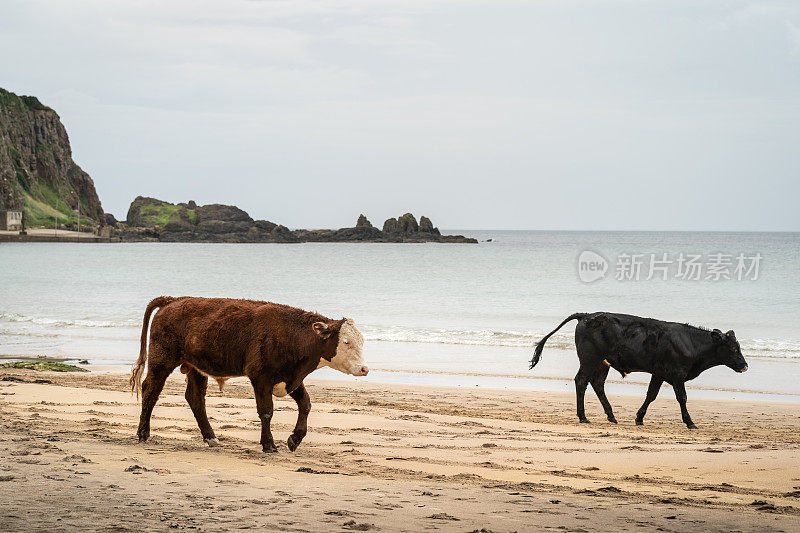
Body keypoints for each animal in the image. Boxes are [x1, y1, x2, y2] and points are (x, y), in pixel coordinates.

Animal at [130, 298, 368, 450]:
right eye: (346, 341)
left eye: (362, 341)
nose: (364, 369)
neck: (292, 335)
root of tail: (172, 300)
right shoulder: (260, 377)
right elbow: (266, 411)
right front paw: (269, 444)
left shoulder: (291, 377)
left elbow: (306, 404)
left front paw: (295, 439)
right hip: (162, 360)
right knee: (150, 390)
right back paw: (143, 434)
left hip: (197, 367)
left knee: (195, 398)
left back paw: (211, 437)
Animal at [532, 312, 752, 428]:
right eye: (733, 348)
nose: (744, 365)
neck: (691, 343)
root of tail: (587, 316)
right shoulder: (677, 374)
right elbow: (682, 397)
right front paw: (690, 422)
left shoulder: (659, 373)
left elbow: (651, 395)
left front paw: (639, 417)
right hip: (589, 359)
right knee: (581, 381)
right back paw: (583, 416)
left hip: (602, 362)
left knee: (597, 384)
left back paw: (611, 416)